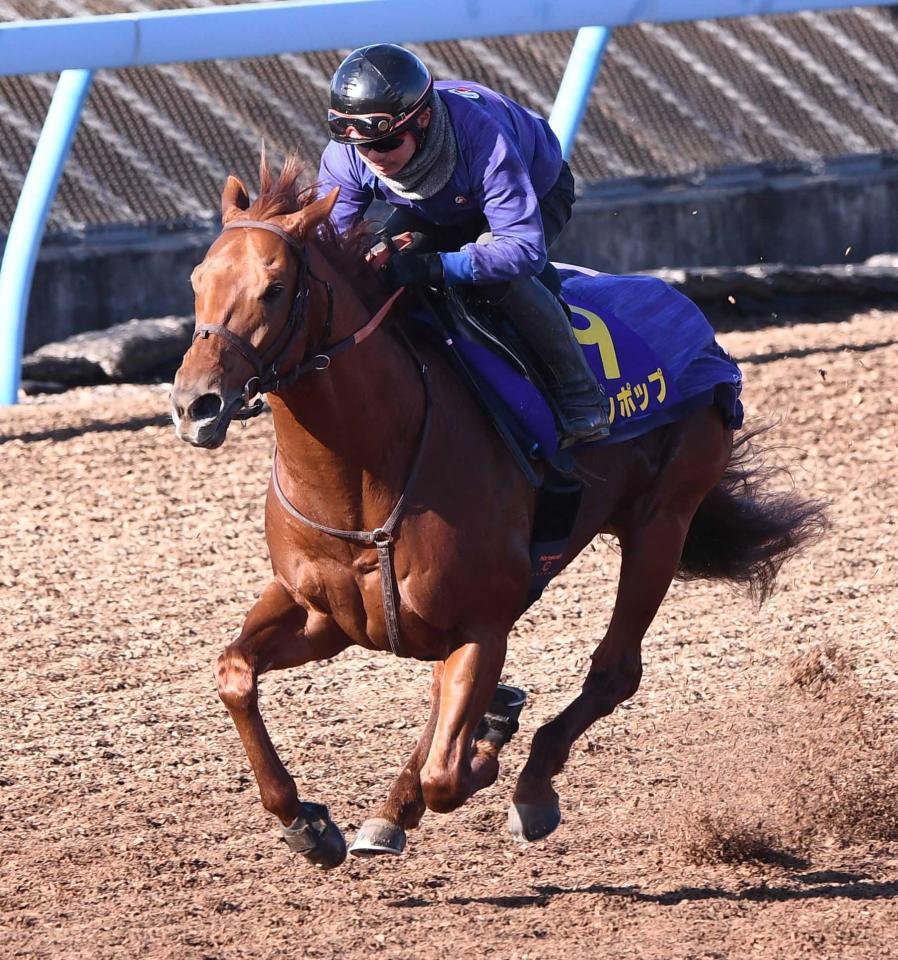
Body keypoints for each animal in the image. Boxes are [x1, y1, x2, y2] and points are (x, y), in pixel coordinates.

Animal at [172, 158, 824, 872]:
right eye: (198, 281)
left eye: (275, 288)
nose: (195, 405)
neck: (366, 472)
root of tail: (692, 320)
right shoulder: (322, 611)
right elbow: (234, 673)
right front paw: (306, 822)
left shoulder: (483, 623)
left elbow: (448, 773)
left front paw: (488, 746)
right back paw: (407, 799)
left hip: (662, 522)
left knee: (614, 670)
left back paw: (527, 783)